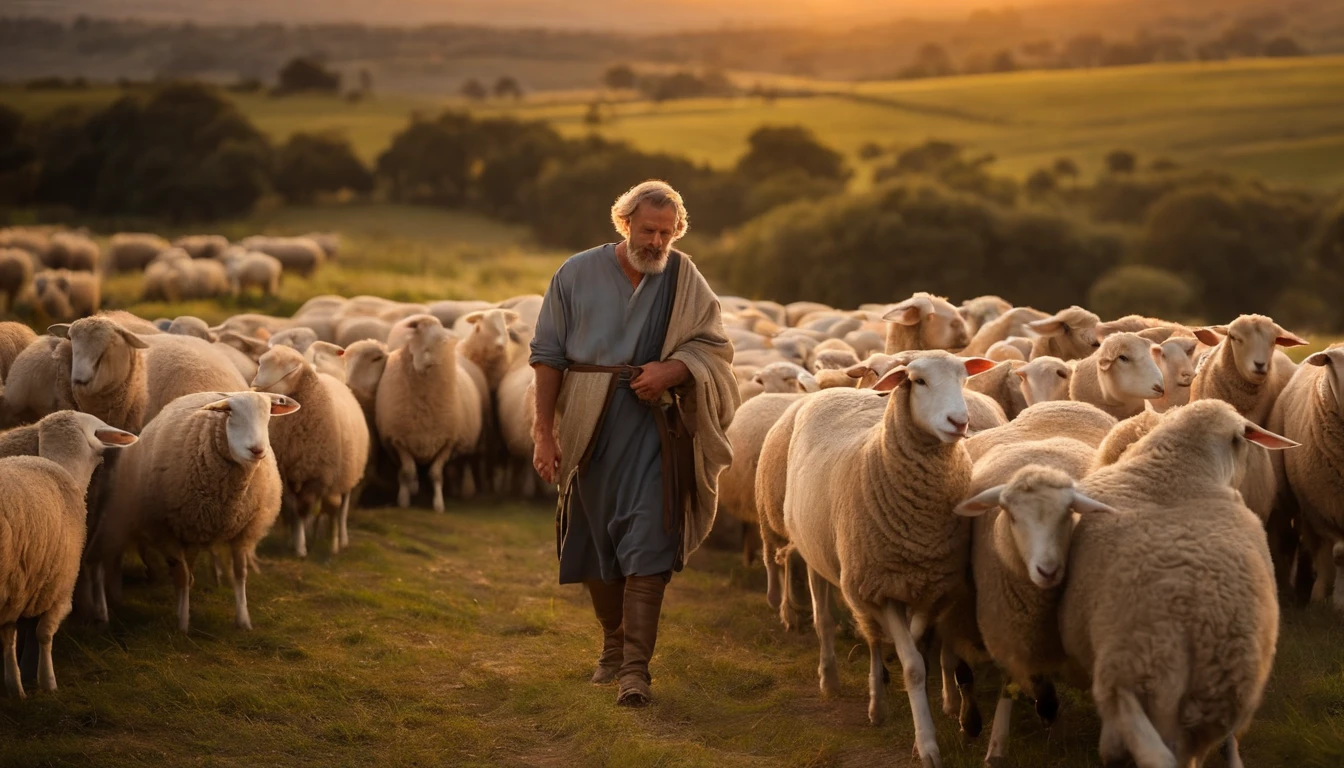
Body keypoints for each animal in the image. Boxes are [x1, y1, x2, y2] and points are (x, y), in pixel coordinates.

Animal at [0, 411, 136, 698]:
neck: (62, 465)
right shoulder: (60, 588)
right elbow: (44, 634)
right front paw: (48, 682)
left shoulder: (15, 588)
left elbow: (9, 638)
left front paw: (16, 688)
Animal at [91, 391, 298, 632]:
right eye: (230, 412)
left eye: (268, 415)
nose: (257, 450)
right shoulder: (166, 530)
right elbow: (182, 577)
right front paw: (182, 624)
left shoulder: (242, 531)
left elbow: (239, 574)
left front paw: (243, 621)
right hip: (115, 516)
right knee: (98, 561)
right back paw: (101, 611)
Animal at [252, 345, 370, 556]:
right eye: (260, 363)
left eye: (288, 372)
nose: (255, 387)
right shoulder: (285, 473)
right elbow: (293, 508)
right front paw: (296, 541)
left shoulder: (318, 475)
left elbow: (304, 508)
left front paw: (302, 548)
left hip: (347, 471)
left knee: (341, 507)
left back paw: (340, 539)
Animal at [375, 315, 482, 513]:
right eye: (416, 332)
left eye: (439, 339)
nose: (428, 361)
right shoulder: (397, 440)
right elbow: (407, 471)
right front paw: (404, 499)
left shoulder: (448, 442)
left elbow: (435, 474)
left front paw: (438, 504)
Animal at [780, 352, 995, 763]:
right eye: (919, 381)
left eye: (964, 378)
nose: (959, 422)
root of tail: (843, 390)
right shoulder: (877, 589)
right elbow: (912, 665)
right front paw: (926, 745)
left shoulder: (931, 587)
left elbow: (917, 645)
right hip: (821, 557)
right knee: (827, 620)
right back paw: (836, 682)